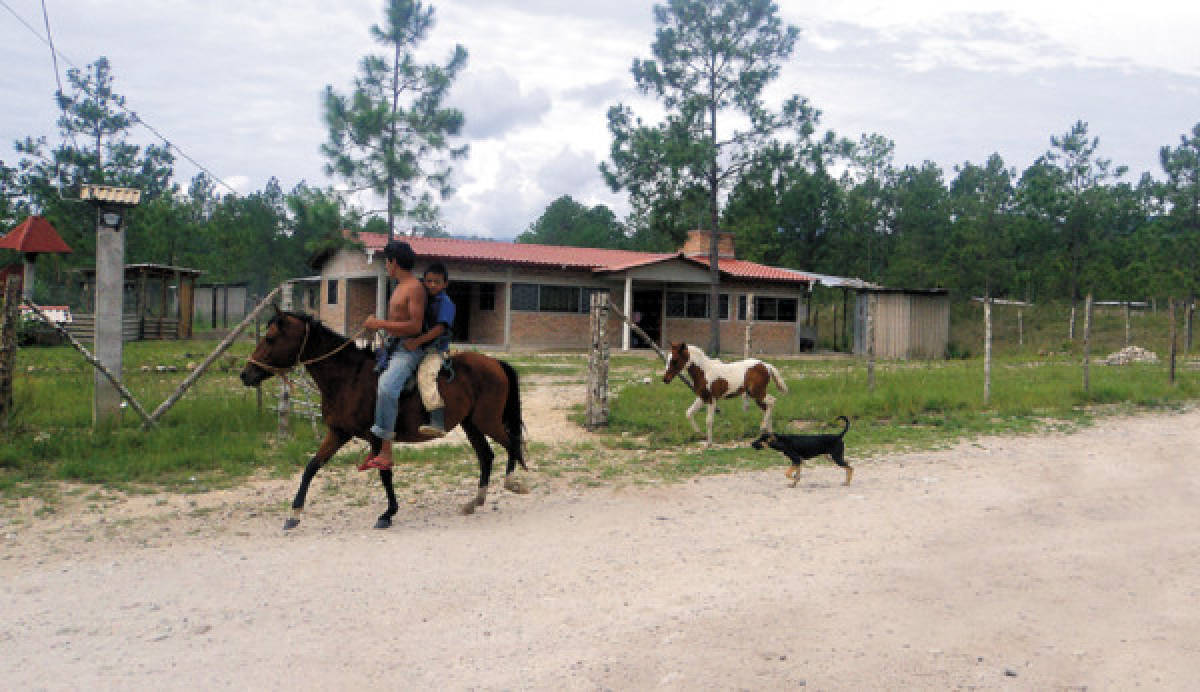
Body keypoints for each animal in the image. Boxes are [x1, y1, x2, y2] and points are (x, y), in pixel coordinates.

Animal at [236, 309, 528, 527]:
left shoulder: (376, 435)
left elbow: (384, 473)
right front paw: (294, 514)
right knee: (487, 455)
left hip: (487, 421)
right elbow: (312, 466)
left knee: (512, 442)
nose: (246, 374)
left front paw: (388, 514)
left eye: (270, 338)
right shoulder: (338, 432)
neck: (349, 377)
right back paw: (475, 501)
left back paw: (513, 483)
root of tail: (495, 363)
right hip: (472, 424)